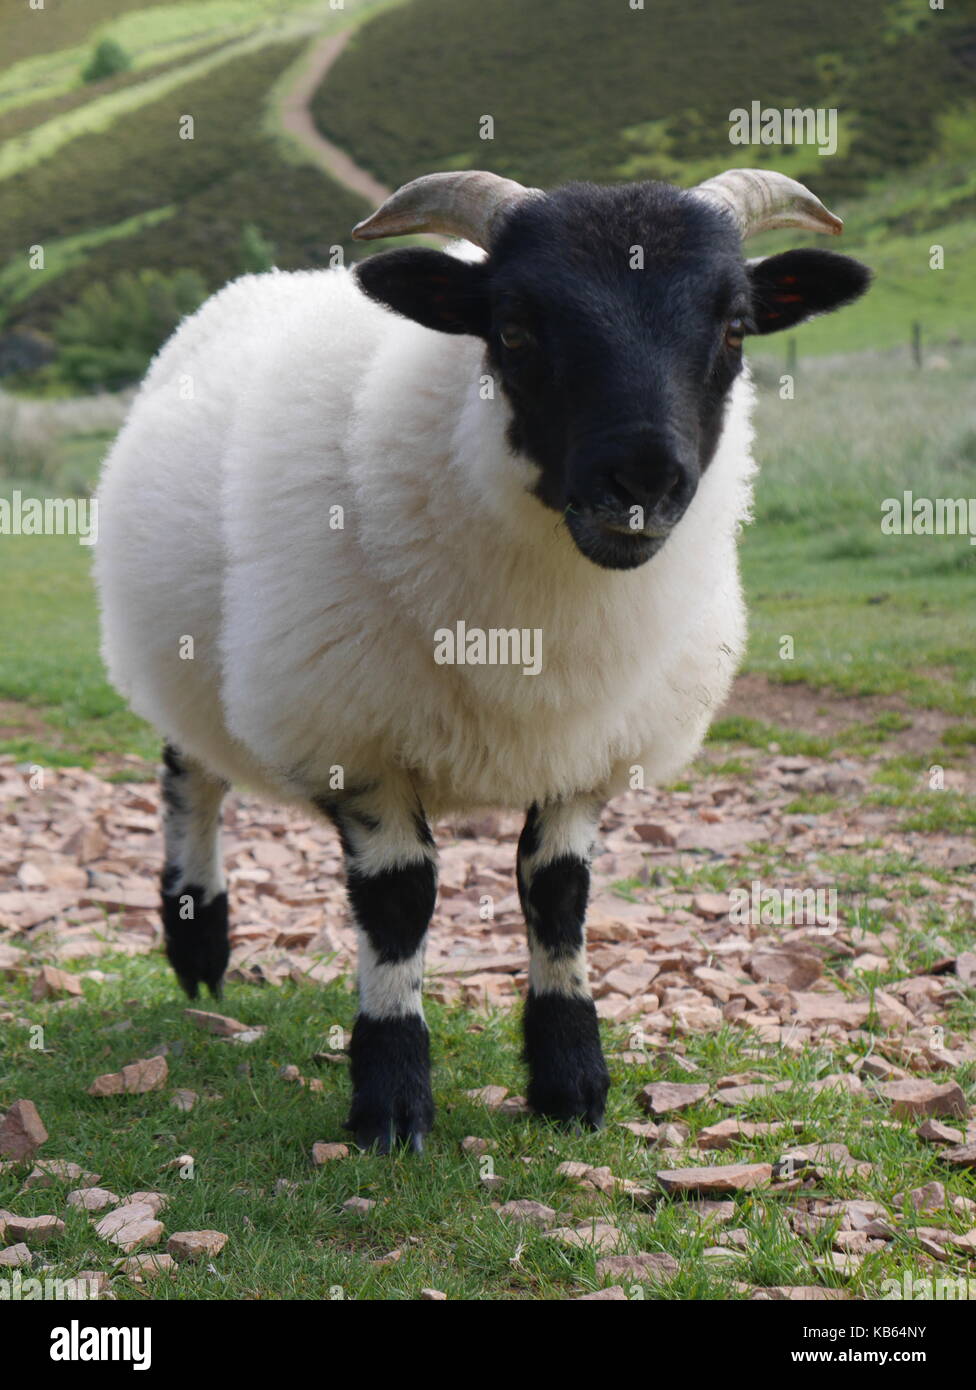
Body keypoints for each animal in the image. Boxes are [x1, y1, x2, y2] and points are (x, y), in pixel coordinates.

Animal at [93, 165, 873, 1150]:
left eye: (735, 326)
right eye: (514, 328)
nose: (644, 484)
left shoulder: (587, 746)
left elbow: (558, 893)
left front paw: (570, 1079)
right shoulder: (362, 741)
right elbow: (401, 902)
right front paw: (391, 1098)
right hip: (185, 661)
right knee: (190, 778)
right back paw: (199, 943)